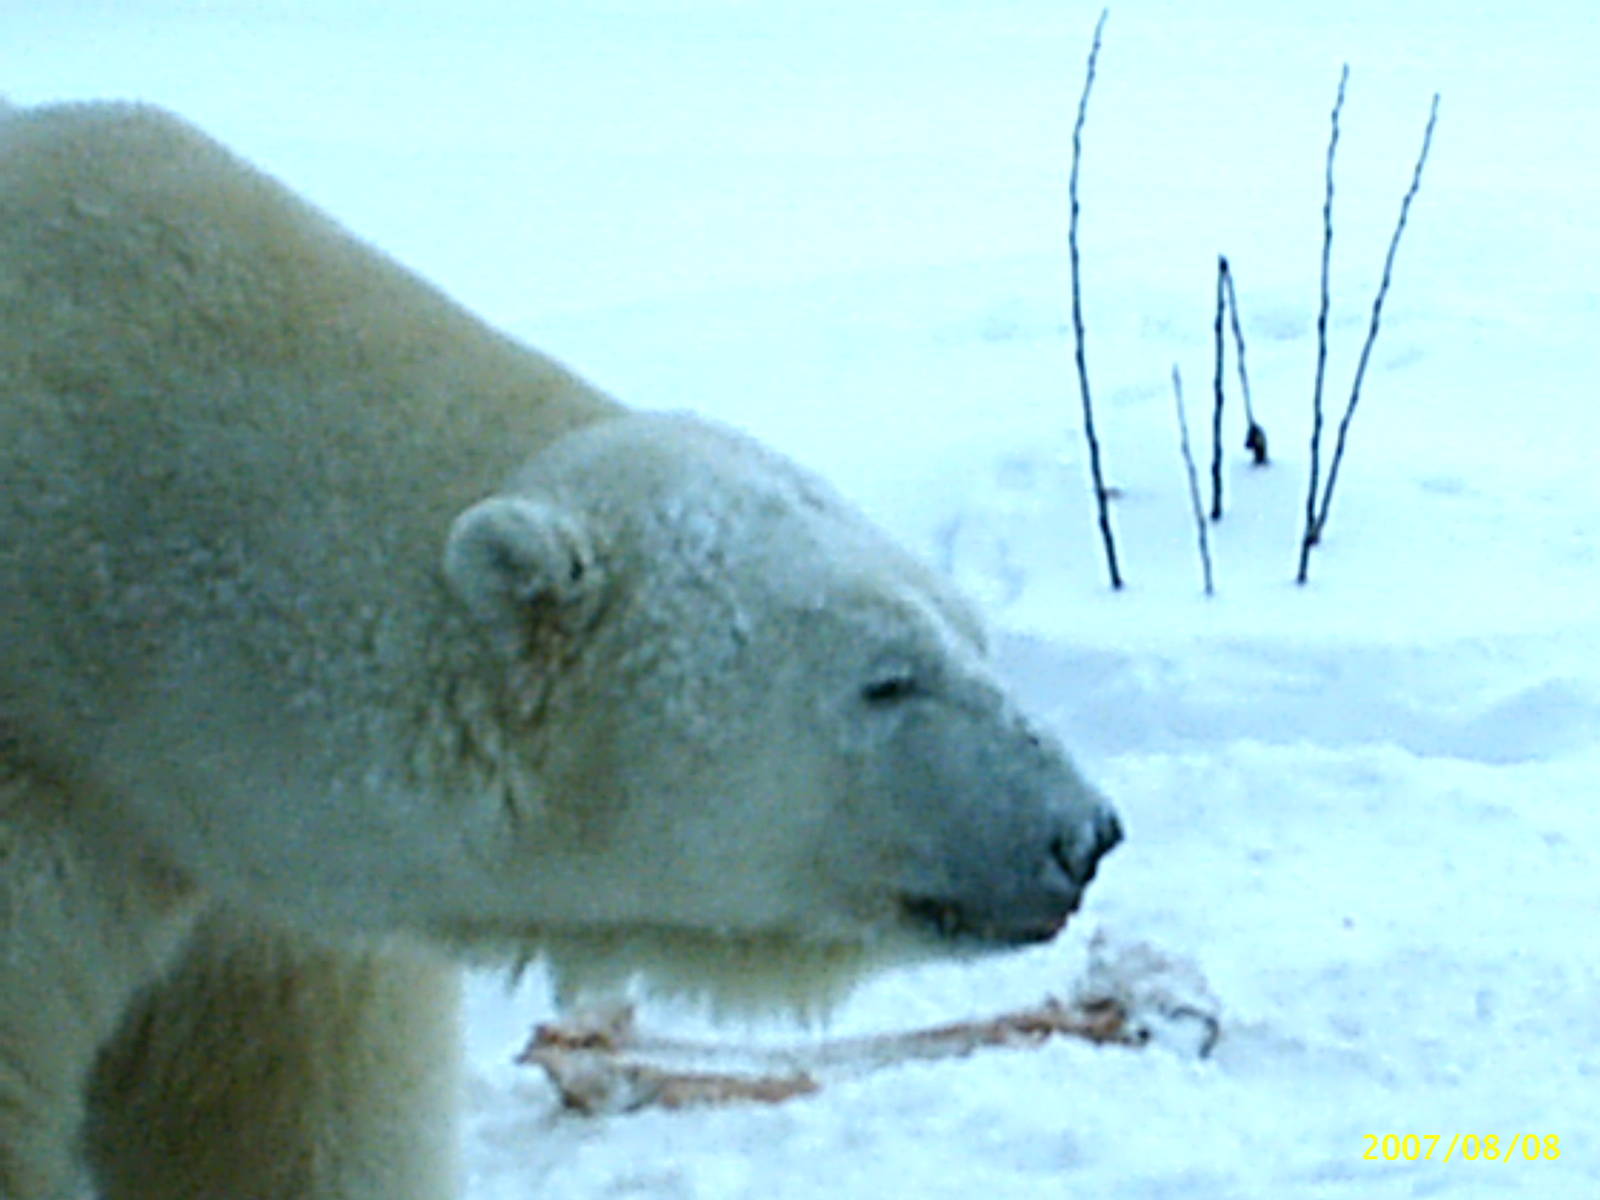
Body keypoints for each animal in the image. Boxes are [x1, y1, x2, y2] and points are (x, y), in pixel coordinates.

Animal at [0, 101, 1121, 1199]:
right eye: (886, 680)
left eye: (974, 635)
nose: (1084, 834)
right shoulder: (45, 819)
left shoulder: (255, 914)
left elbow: (289, 1116)